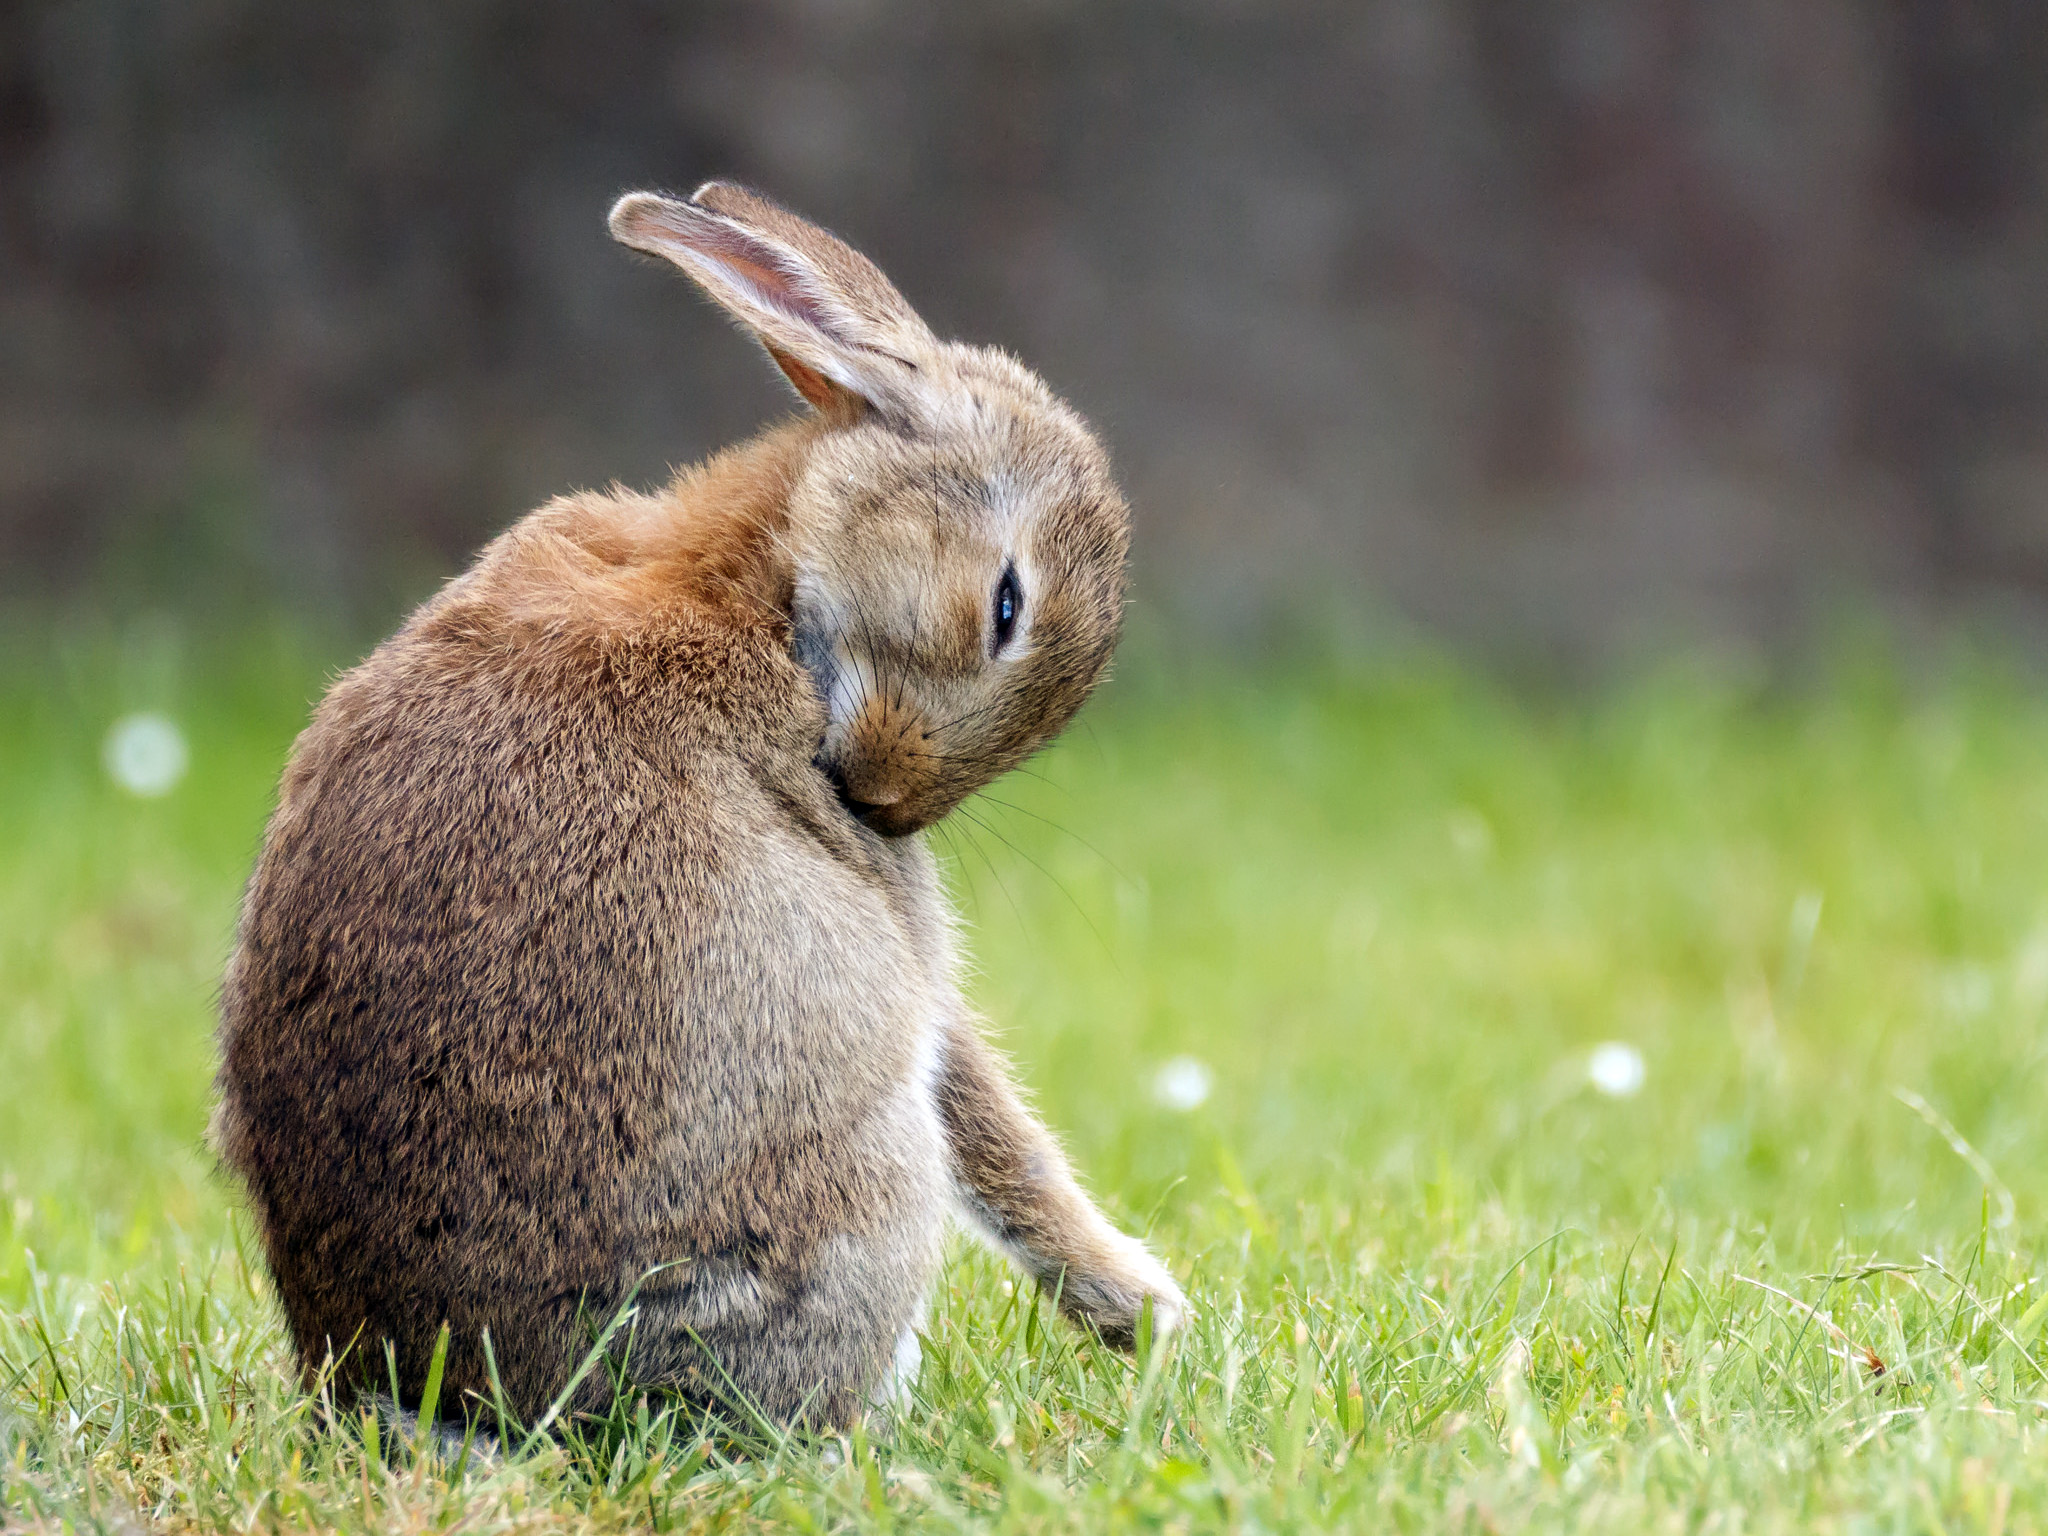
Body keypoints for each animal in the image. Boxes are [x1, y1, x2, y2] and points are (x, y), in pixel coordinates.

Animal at [211, 180, 1185, 1433]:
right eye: (1005, 605)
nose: (883, 800)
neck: (768, 572)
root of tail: (471, 1401)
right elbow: (986, 1120)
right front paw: (1149, 1313)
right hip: (863, 1185)